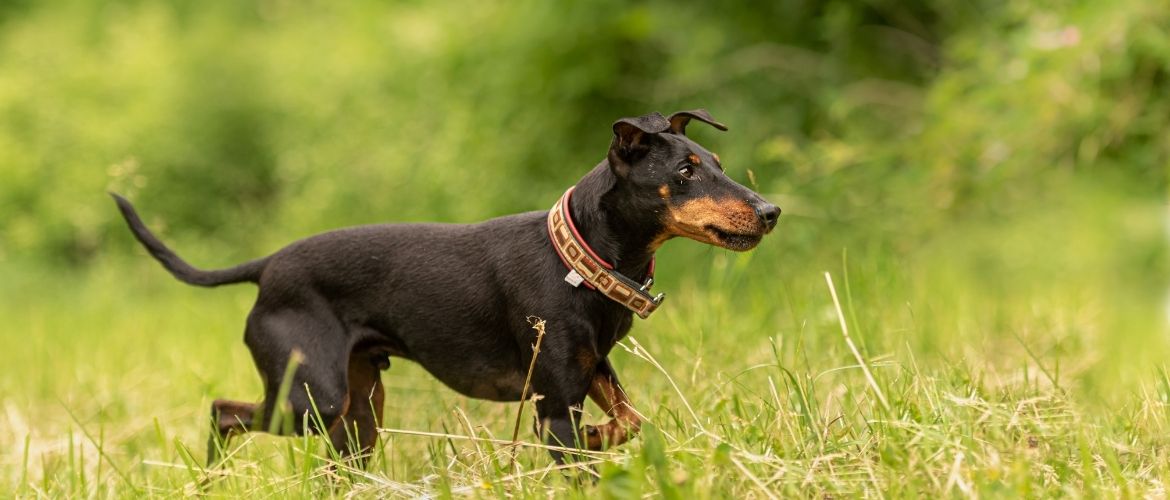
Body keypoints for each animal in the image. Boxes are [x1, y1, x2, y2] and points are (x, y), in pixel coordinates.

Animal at [109, 108, 776, 466]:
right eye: (685, 171)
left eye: (718, 163)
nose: (770, 211)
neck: (579, 257)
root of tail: (266, 265)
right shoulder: (554, 405)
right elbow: (583, 454)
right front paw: (593, 442)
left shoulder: (591, 371)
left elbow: (631, 423)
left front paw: (603, 434)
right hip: (310, 400)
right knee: (223, 412)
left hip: (358, 412)